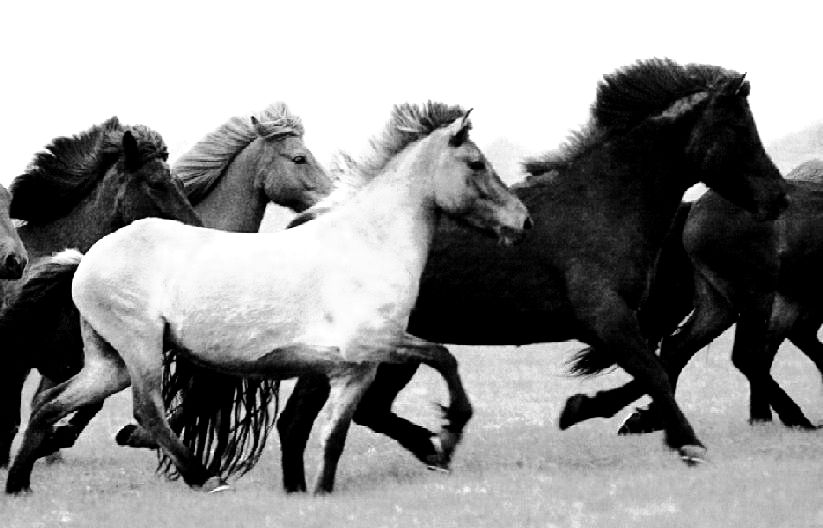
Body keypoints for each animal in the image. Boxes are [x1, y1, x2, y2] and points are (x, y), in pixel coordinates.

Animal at [272, 58, 789, 492]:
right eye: (738, 127)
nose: (779, 197)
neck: (603, 203)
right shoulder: (607, 321)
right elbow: (656, 373)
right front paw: (684, 443)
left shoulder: (614, 326)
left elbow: (657, 367)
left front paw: (595, 412)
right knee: (300, 421)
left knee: (351, 413)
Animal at [564, 159, 823, 435]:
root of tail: (696, 208)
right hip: (754, 297)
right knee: (748, 355)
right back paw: (794, 419)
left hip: (723, 305)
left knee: (679, 348)